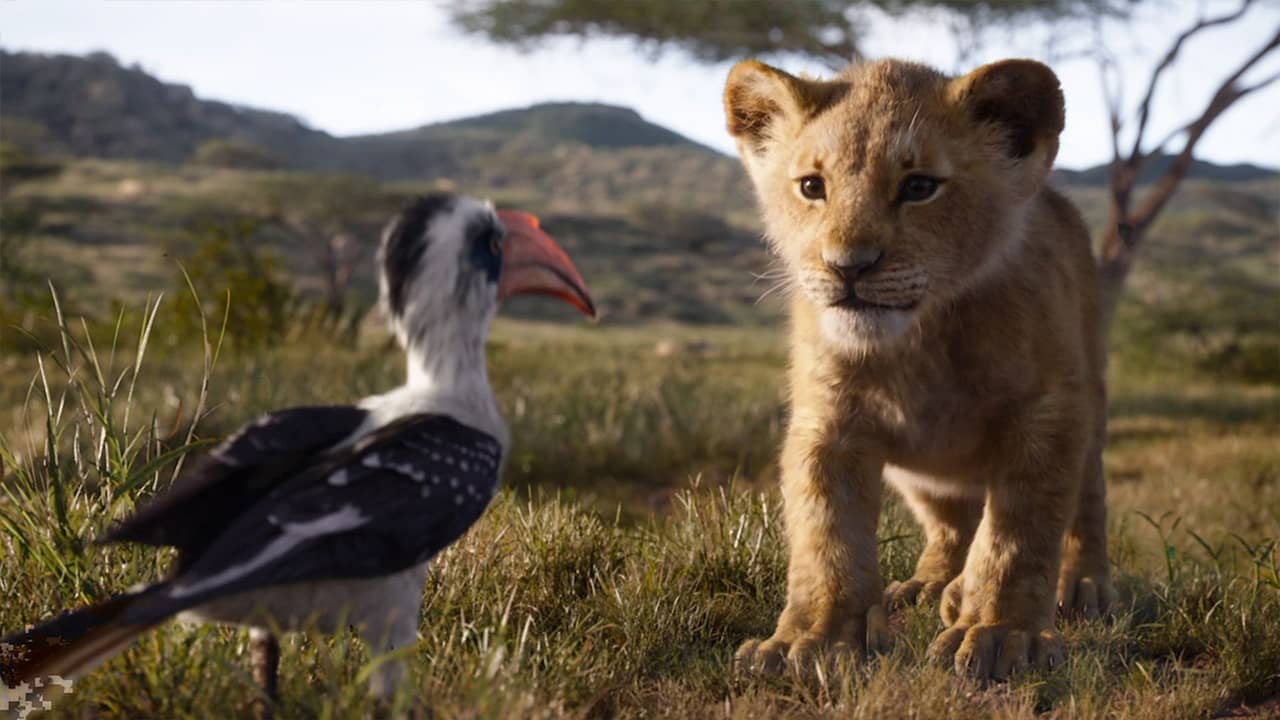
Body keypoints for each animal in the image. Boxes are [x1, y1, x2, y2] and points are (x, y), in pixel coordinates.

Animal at [723, 57, 1115, 680]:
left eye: (919, 187)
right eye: (812, 186)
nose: (848, 267)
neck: (920, 342)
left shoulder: (1047, 412)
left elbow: (1018, 534)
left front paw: (999, 634)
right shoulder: (828, 422)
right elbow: (826, 534)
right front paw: (811, 640)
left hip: (1091, 400)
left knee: (1087, 500)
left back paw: (1078, 586)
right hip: (924, 475)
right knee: (951, 522)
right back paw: (933, 586)